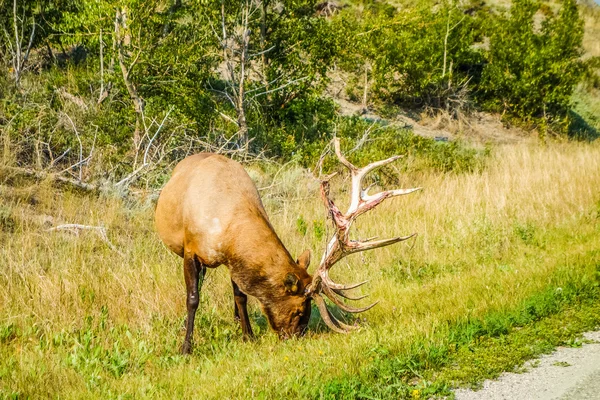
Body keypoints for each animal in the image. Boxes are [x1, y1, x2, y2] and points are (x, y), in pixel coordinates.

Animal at [155, 138, 418, 354]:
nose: (296, 336)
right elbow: (192, 298)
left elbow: (241, 295)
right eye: (299, 310)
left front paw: (248, 335)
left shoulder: (233, 259)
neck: (225, 224)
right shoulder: (190, 250)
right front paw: (186, 348)